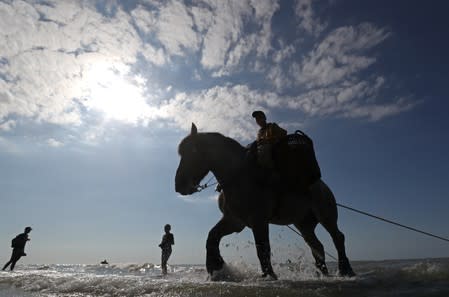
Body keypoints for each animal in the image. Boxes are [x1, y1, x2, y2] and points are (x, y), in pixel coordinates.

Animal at [175, 122, 354, 278]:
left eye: (192, 152)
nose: (179, 185)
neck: (239, 176)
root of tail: (321, 185)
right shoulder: (234, 221)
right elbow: (212, 237)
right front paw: (216, 266)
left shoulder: (259, 220)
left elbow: (262, 248)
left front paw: (269, 275)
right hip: (304, 225)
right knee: (317, 246)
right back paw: (323, 272)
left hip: (326, 217)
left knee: (338, 238)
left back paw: (345, 270)